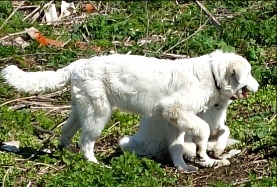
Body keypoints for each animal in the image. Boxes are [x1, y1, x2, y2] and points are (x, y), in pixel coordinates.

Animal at [1, 50, 258, 172]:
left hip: (81, 110)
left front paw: (184, 168)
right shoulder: (176, 110)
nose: (258, 86)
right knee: (85, 142)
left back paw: (61, 153)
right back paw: (94, 164)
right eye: (249, 74)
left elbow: (177, 147)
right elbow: (203, 129)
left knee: (66, 131)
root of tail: (77, 65)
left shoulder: (173, 119)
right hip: (98, 114)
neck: (212, 75)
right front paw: (203, 154)